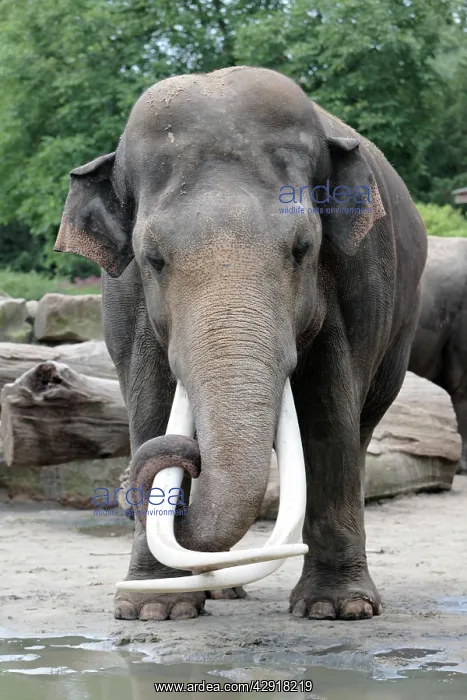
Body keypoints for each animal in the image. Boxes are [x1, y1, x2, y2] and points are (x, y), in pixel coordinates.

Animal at [55, 66, 427, 622]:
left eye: (303, 249)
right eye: (152, 258)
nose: (191, 457)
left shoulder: (360, 277)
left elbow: (327, 412)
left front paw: (335, 608)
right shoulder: (123, 298)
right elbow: (149, 402)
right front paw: (153, 607)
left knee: (359, 428)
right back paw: (218, 591)